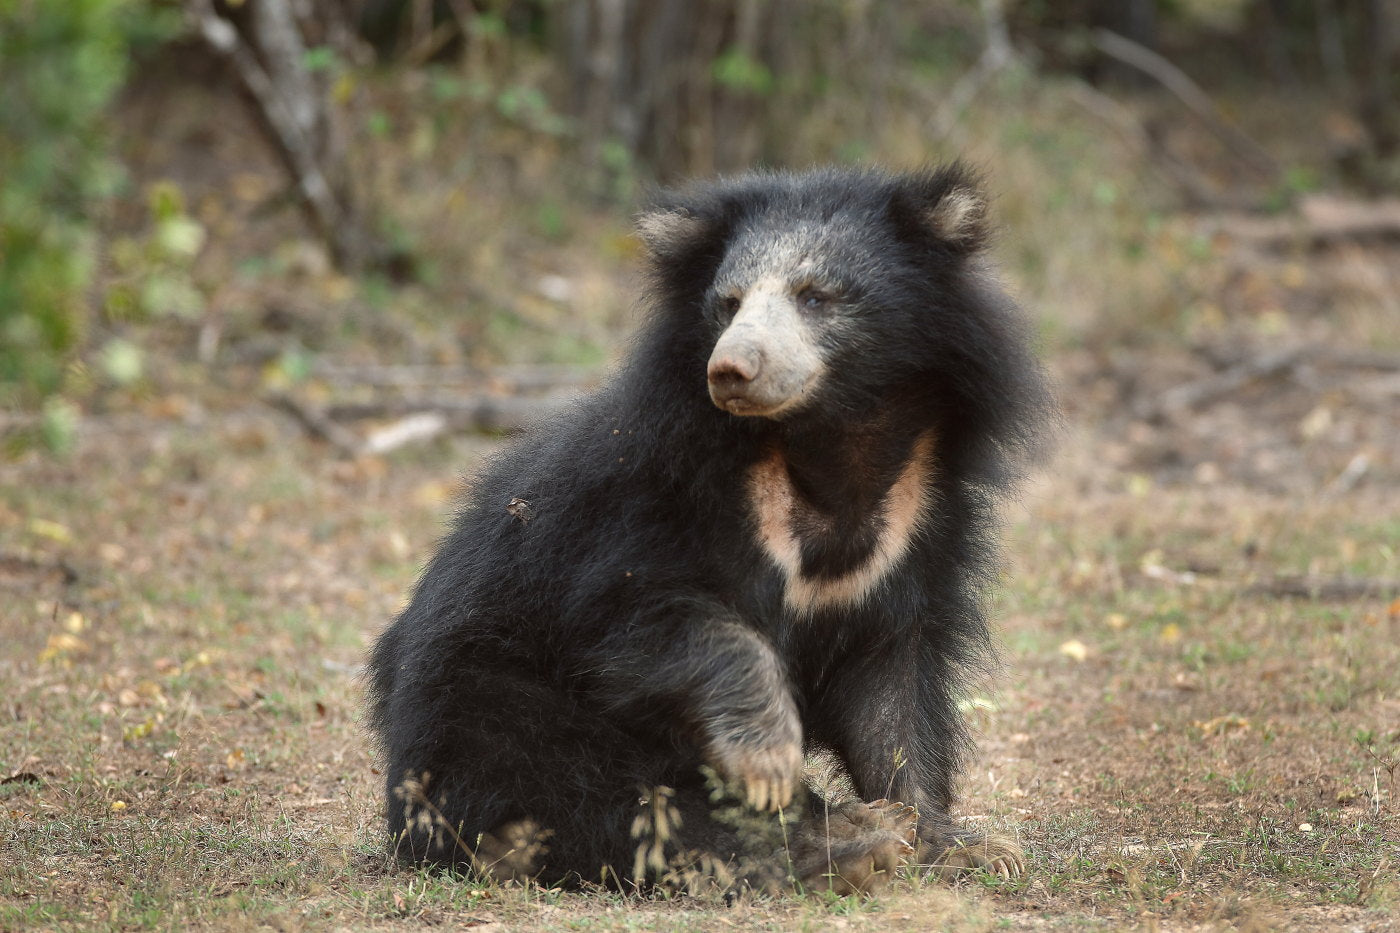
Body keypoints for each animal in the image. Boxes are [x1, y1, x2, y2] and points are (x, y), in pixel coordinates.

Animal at [369, 163, 1052, 890]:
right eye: (727, 304)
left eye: (816, 296)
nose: (730, 368)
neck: (828, 442)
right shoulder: (651, 503)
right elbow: (652, 619)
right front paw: (769, 757)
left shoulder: (912, 534)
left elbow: (894, 697)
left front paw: (960, 843)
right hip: (491, 705)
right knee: (598, 796)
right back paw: (838, 848)